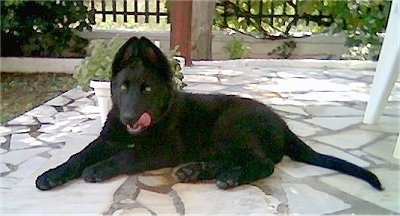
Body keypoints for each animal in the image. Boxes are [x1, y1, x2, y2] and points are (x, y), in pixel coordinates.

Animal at [36, 36, 382, 191]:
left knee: (264, 163)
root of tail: (282, 125)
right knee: (237, 159)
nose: (129, 119)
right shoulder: (106, 139)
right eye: (123, 87)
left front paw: (98, 169)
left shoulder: (161, 150)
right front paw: (52, 174)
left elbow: (126, 156)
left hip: (231, 125)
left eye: (147, 89)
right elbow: (78, 155)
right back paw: (196, 171)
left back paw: (227, 177)